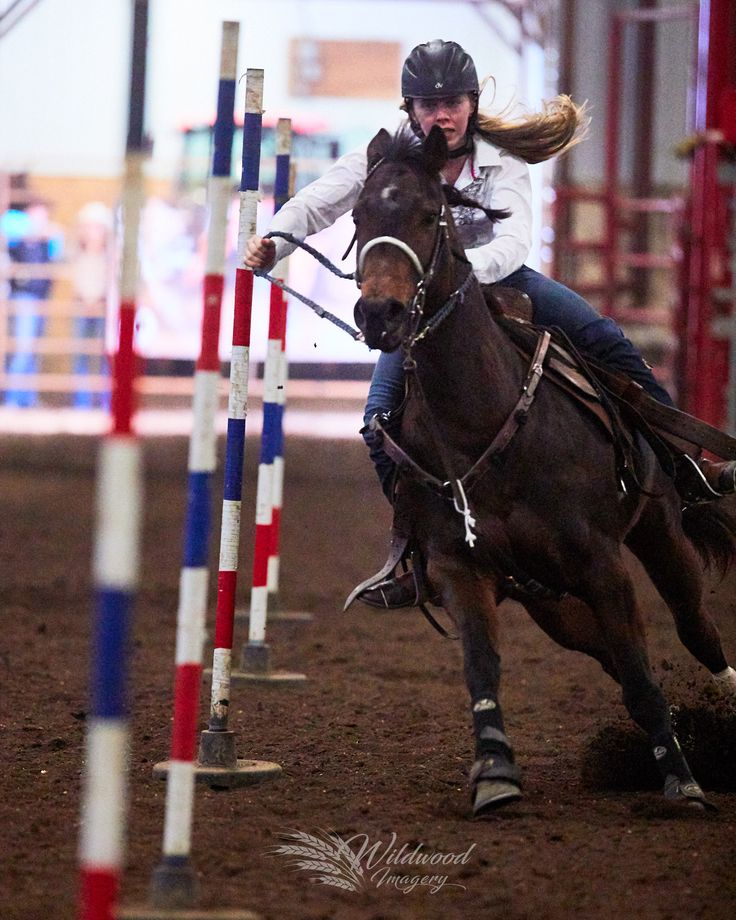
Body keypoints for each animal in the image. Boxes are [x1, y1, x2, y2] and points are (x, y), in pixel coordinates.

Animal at [350, 126, 736, 816]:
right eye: (358, 216)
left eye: (428, 214)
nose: (380, 314)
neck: (484, 419)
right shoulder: (461, 568)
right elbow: (483, 666)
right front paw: (496, 772)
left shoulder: (603, 566)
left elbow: (642, 675)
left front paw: (683, 782)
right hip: (550, 601)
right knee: (609, 652)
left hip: (660, 533)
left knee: (694, 627)